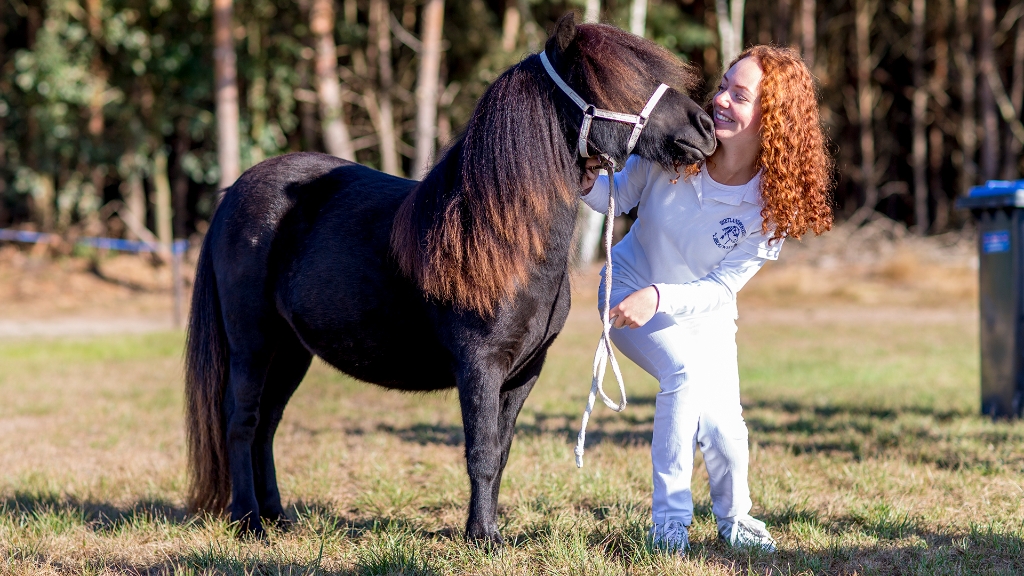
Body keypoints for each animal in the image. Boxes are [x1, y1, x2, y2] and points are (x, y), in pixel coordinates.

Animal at [186, 14, 712, 541]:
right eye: (615, 80)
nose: (704, 127)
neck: (499, 237)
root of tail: (235, 192)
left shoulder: (525, 372)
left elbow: (500, 452)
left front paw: (486, 530)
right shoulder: (479, 366)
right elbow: (479, 452)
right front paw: (482, 537)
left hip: (292, 349)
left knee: (268, 423)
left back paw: (278, 515)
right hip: (252, 342)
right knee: (242, 420)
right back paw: (248, 519)